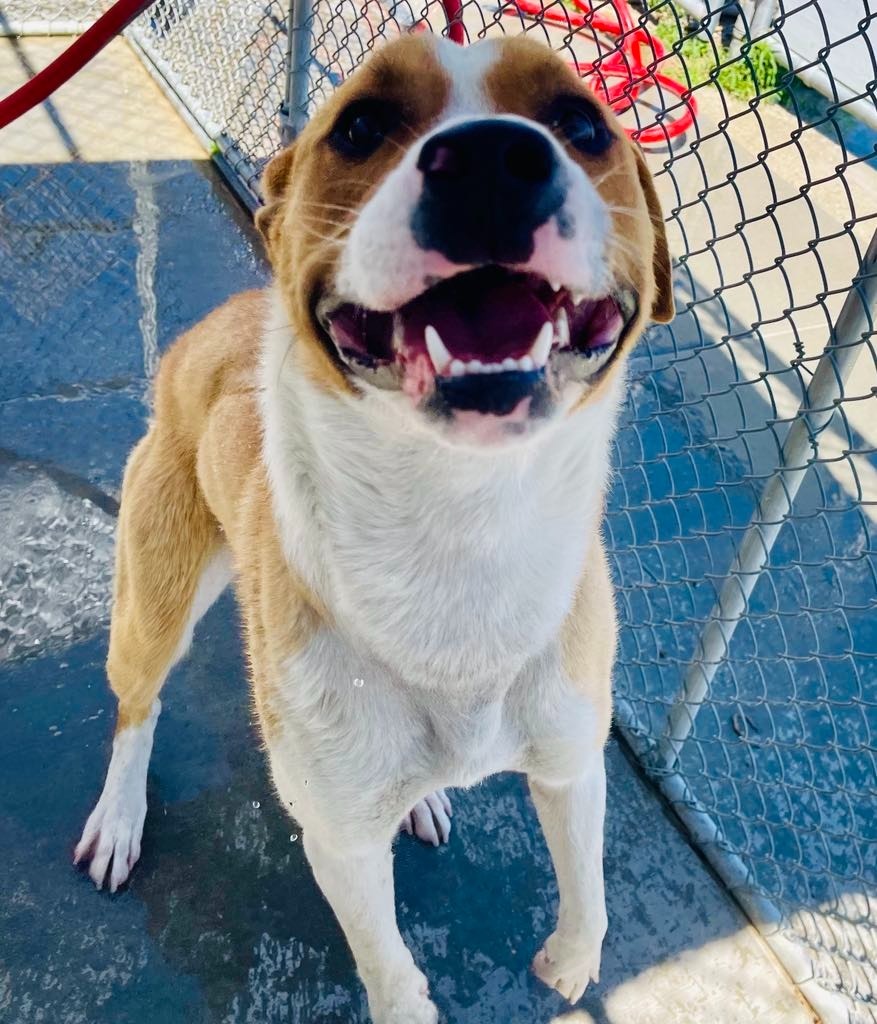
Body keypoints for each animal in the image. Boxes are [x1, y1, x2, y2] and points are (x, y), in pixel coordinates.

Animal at [75, 32, 676, 1024]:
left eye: (582, 122)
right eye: (359, 125)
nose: (489, 159)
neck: (461, 531)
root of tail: (213, 328)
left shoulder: (571, 759)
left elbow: (587, 883)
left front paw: (573, 962)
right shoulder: (340, 839)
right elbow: (389, 966)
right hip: (153, 603)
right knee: (136, 707)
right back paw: (120, 817)